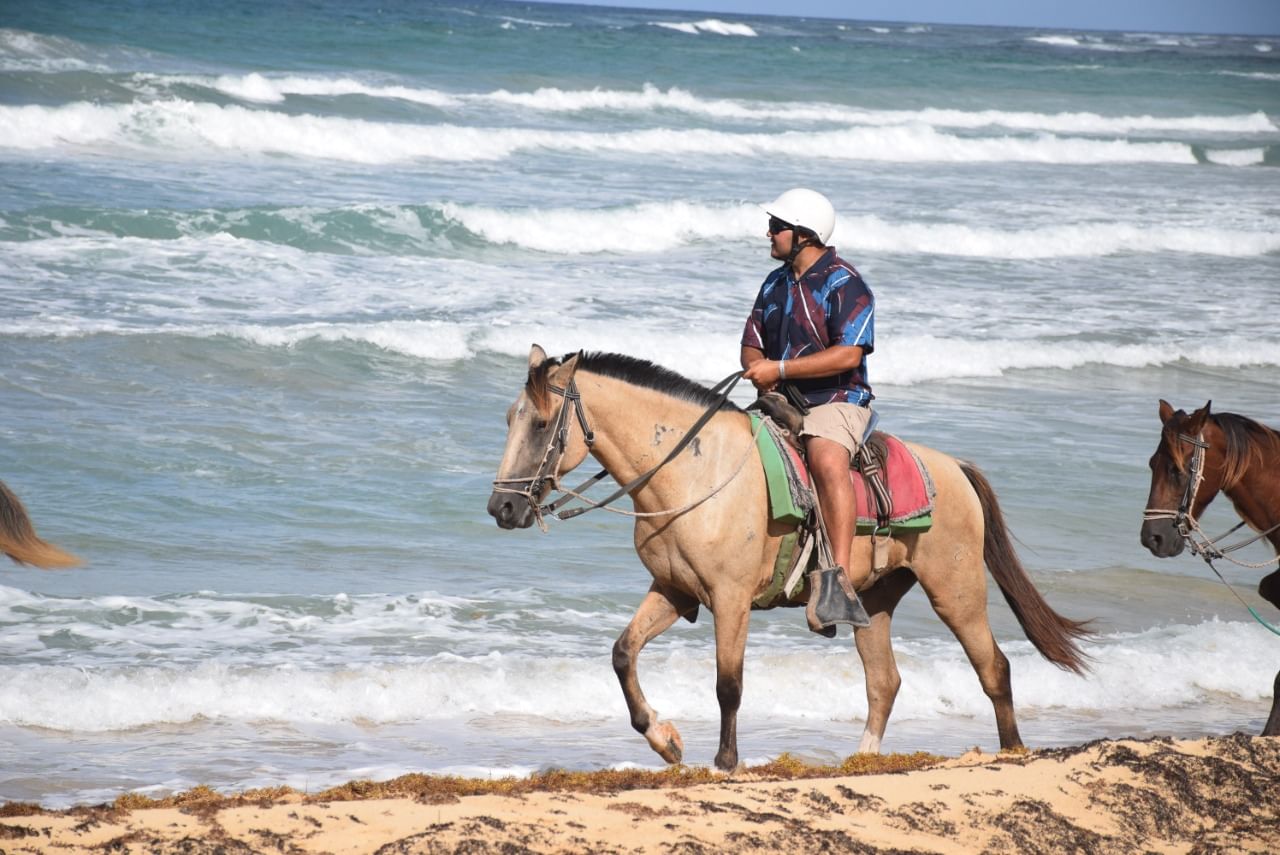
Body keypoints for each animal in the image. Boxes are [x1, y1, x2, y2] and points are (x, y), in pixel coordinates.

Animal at [488, 346, 1092, 770]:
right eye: (510, 419)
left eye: (540, 424)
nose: (502, 507)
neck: (694, 471)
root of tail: (955, 471)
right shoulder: (675, 591)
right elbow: (622, 654)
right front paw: (665, 739)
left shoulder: (730, 599)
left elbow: (728, 684)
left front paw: (725, 761)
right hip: (873, 600)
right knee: (885, 682)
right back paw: (862, 758)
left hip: (956, 591)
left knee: (994, 668)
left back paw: (1012, 753)